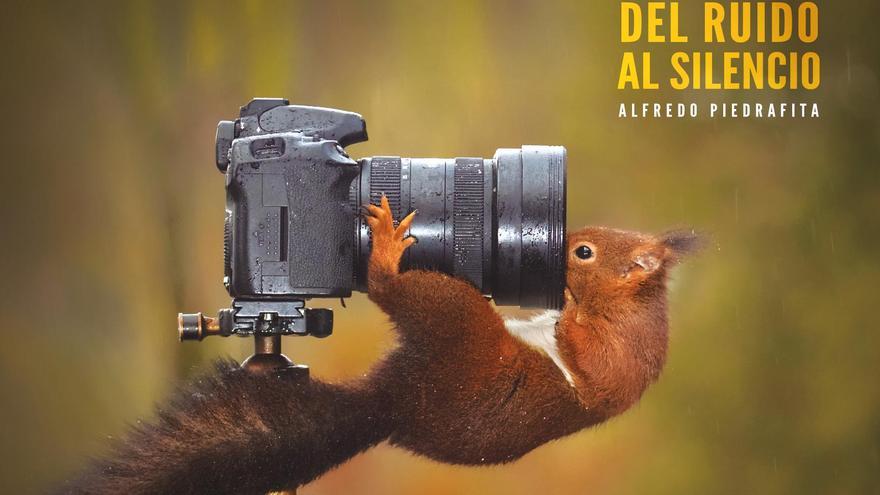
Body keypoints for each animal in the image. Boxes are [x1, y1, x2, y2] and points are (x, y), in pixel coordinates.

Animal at [60, 196, 699, 494]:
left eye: (585, 254)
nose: (561, 243)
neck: (633, 308)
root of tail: (392, 402)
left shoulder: (619, 353)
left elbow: (589, 356)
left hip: (458, 324)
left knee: (403, 292)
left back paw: (387, 253)